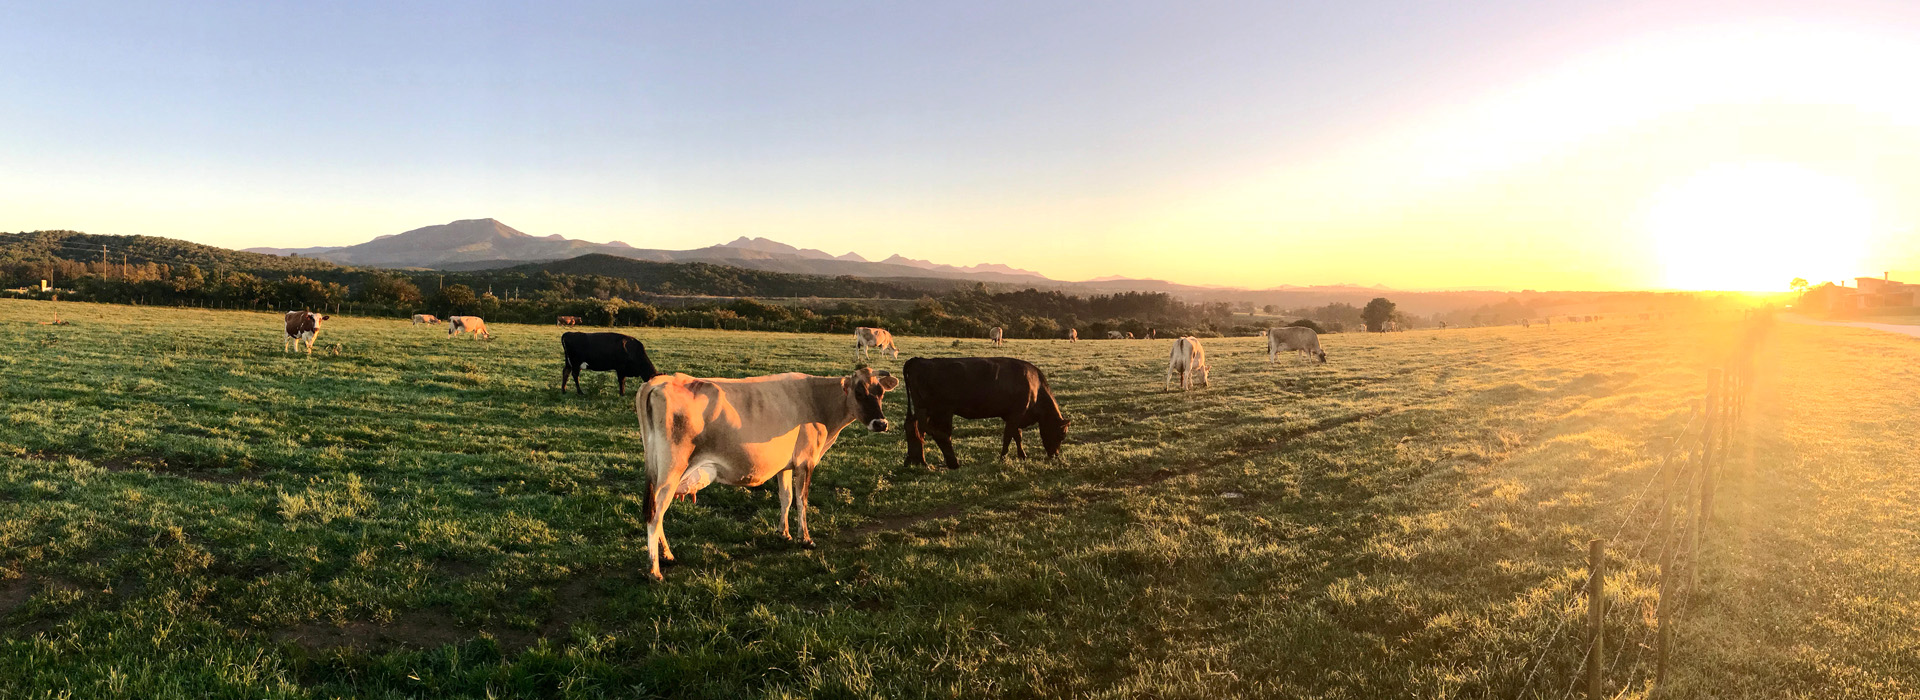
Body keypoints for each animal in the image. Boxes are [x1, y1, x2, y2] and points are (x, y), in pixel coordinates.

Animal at [629, 366, 898, 579]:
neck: (816, 399)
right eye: (859, 393)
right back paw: (654, 570)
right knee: (655, 514)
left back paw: (667, 555)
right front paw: (805, 538)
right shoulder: (806, 461)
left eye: (881, 393)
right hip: (671, 471)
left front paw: (784, 533)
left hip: (658, 472)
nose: (881, 423)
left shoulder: (785, 465)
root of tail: (661, 381)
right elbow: (802, 501)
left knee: (657, 513)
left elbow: (786, 498)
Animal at [902, 356, 1075, 466]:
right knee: (937, 433)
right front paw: (1003, 457)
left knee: (914, 428)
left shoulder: (1012, 416)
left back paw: (916, 461)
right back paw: (951, 462)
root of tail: (917, 360)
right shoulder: (1016, 414)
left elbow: (1017, 436)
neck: (1036, 387)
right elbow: (1008, 436)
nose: (1055, 455)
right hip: (939, 410)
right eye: (1062, 434)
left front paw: (1022, 455)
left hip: (924, 409)